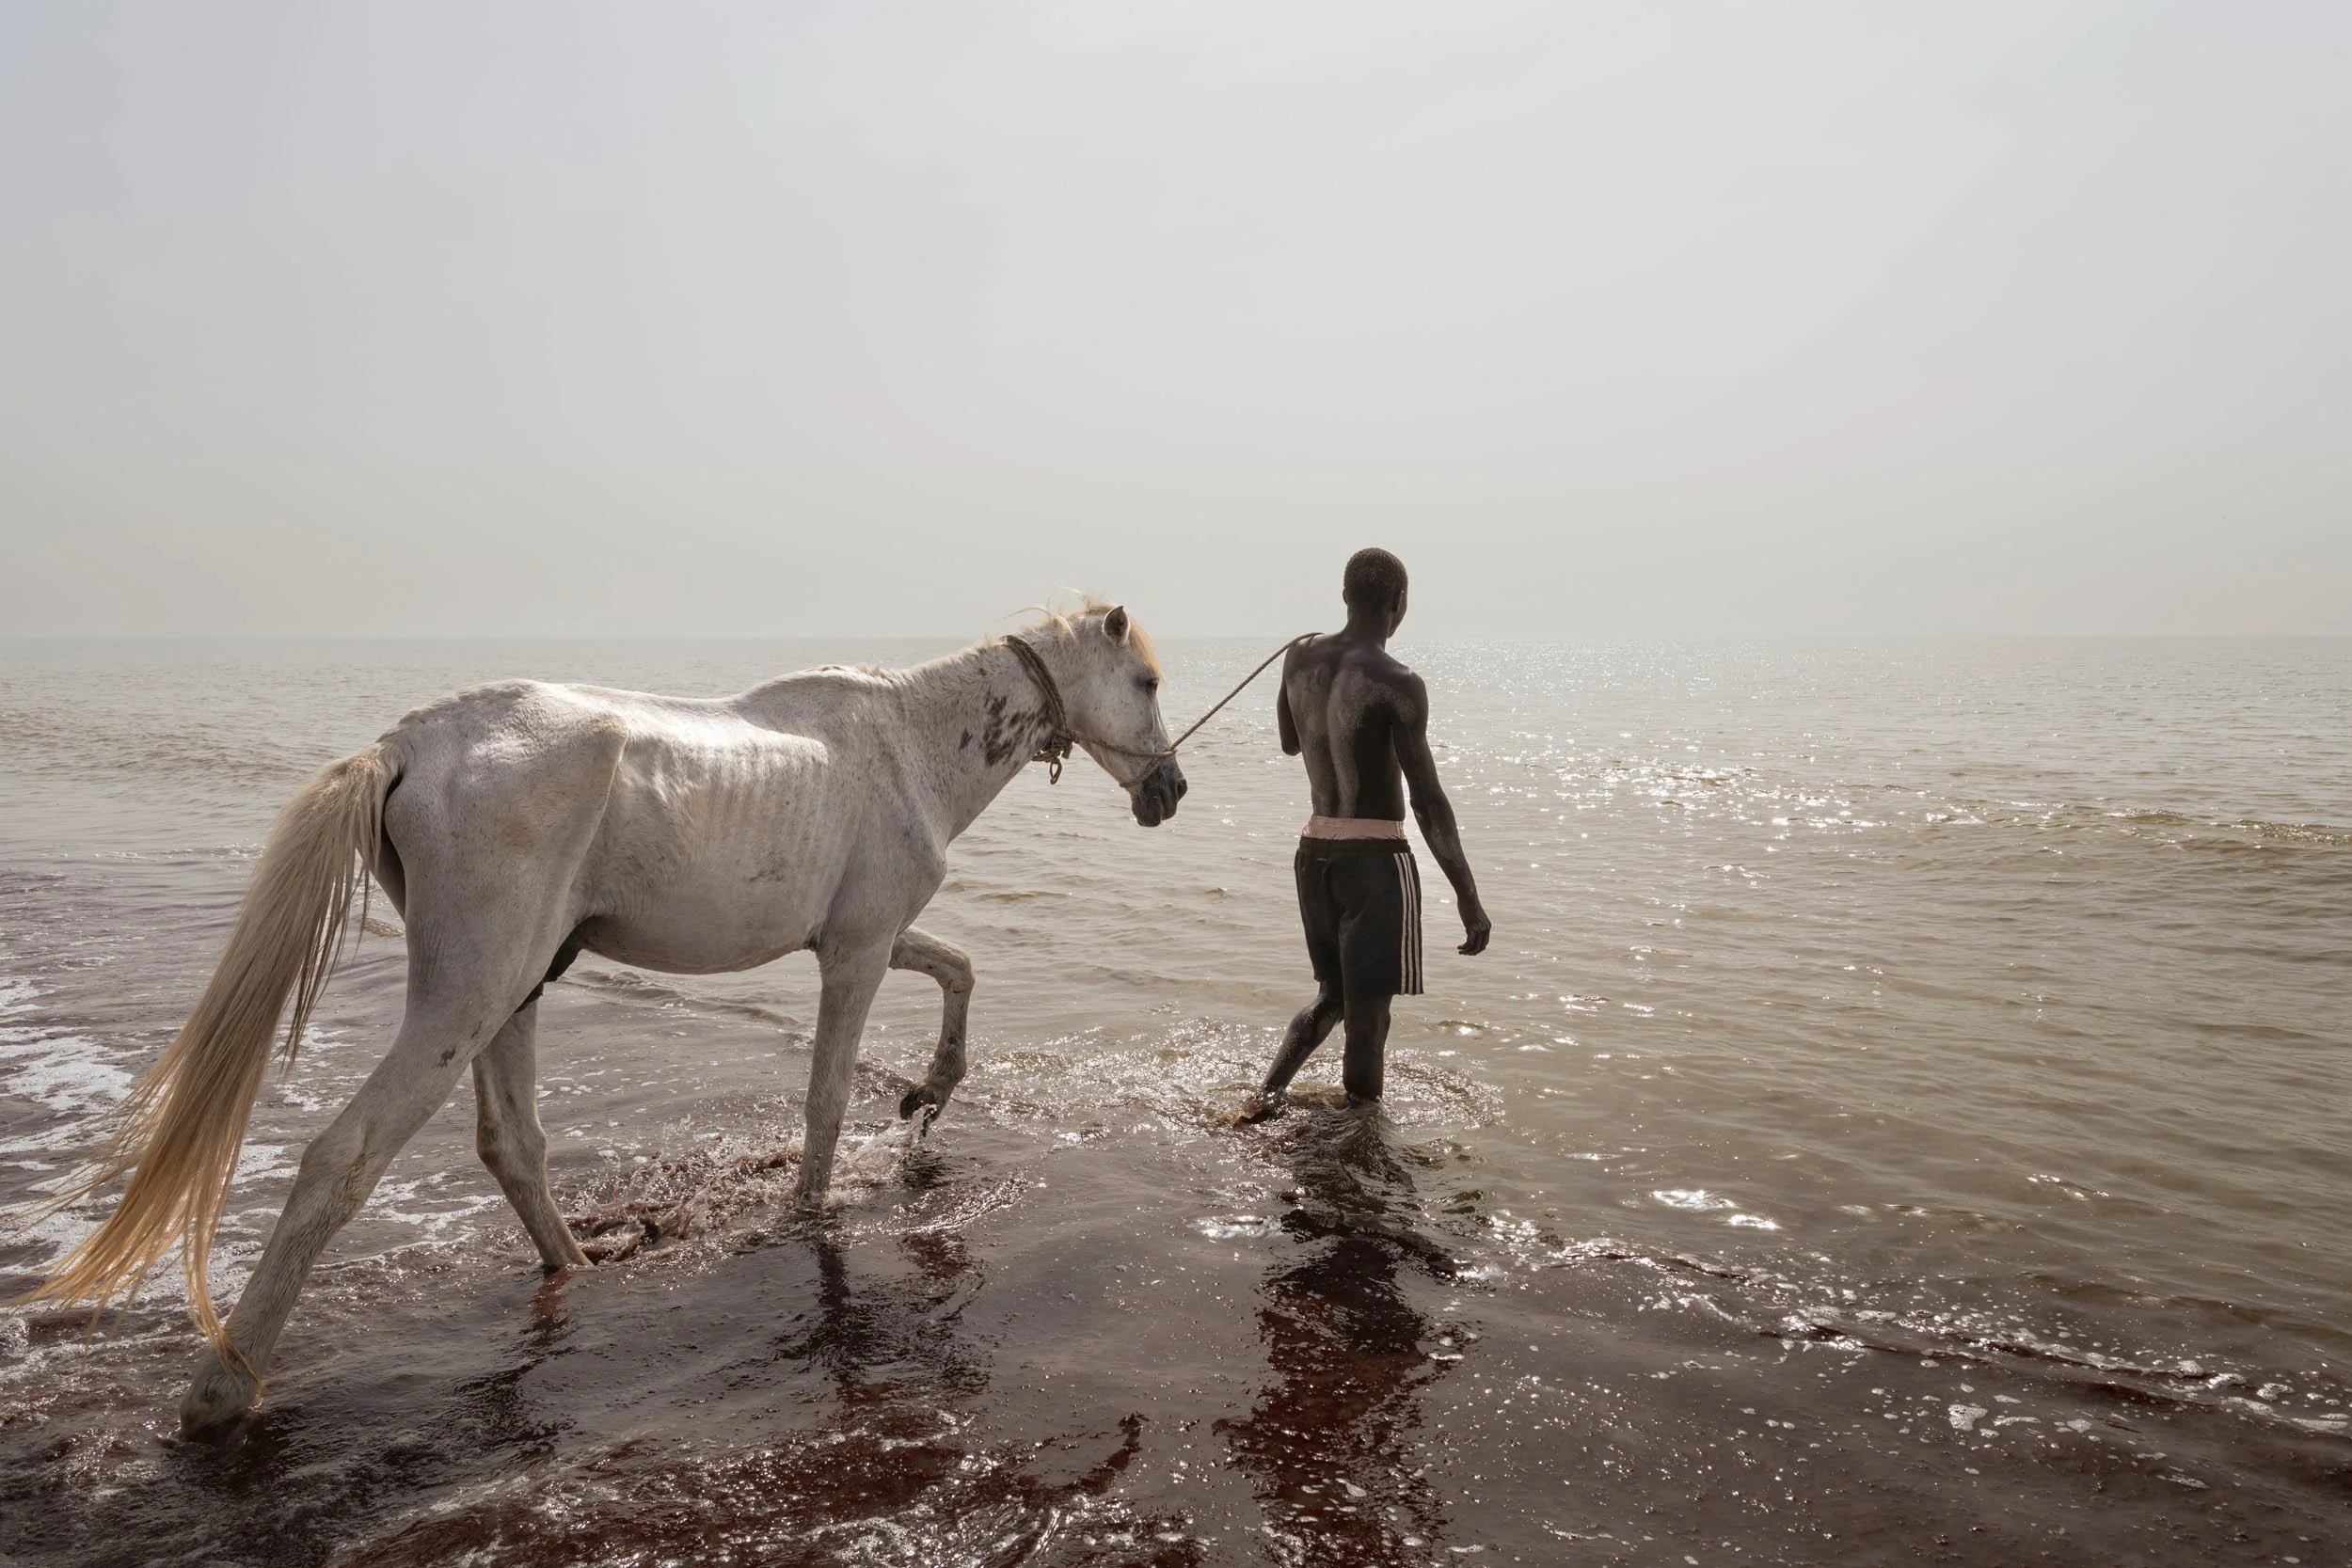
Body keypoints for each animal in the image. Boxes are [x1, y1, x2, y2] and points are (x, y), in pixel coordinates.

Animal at [22, 602, 1185, 1433]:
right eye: (1145, 681)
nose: (1170, 790)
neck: (908, 740)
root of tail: (407, 744)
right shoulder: (853, 955)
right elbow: (822, 1098)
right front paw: (816, 1203)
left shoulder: (870, 934)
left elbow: (960, 970)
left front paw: (928, 1091)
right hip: (470, 994)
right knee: (343, 1156)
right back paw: (222, 1390)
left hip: (516, 991)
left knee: (513, 1145)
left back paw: (581, 1264)